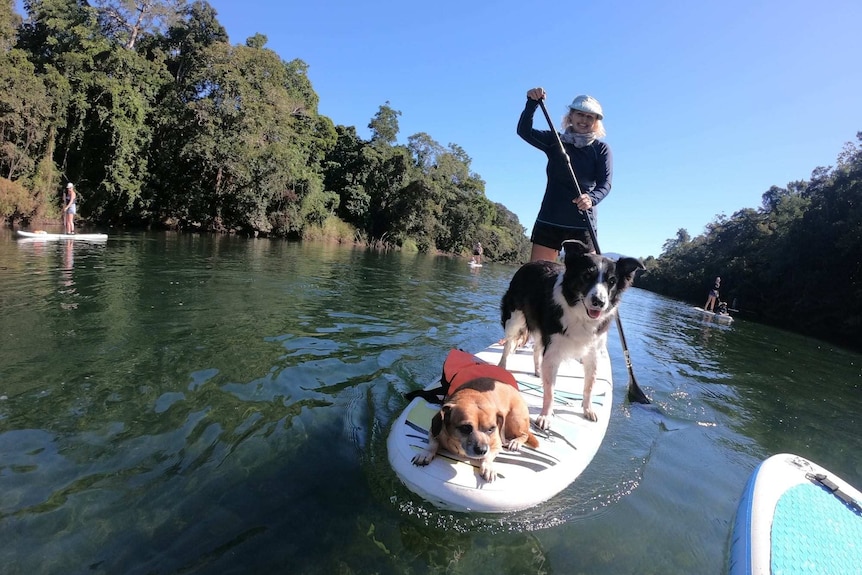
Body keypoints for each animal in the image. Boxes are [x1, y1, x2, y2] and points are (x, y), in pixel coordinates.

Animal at [412, 378, 540, 482]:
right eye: (465, 428)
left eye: (491, 429)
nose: (482, 450)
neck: (472, 396)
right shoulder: (433, 431)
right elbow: (433, 444)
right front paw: (425, 454)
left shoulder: (496, 444)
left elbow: (489, 456)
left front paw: (488, 467)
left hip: (515, 419)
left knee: (525, 434)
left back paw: (516, 442)